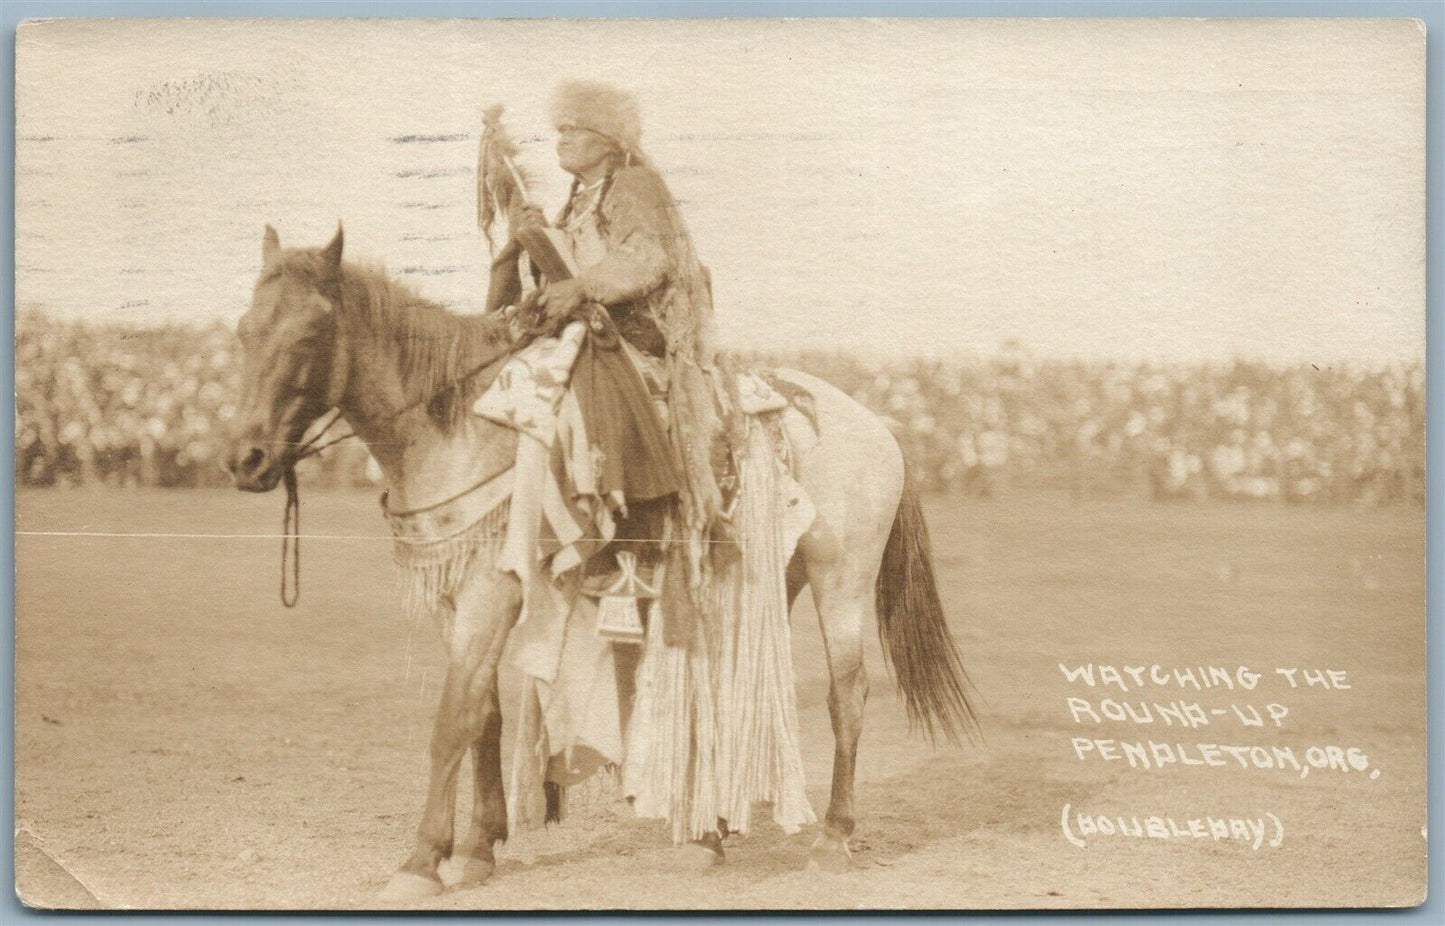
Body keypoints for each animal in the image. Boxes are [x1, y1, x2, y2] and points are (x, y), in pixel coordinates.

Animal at [225, 225, 976, 901]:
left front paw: (420, 861)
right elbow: (486, 712)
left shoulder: (490, 591)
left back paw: (830, 839)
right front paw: (476, 849)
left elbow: (453, 718)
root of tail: (879, 424)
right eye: (242, 333)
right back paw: (710, 836)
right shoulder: (456, 597)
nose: (245, 459)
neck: (467, 424)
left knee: (847, 696)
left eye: (308, 337)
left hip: (840, 580)